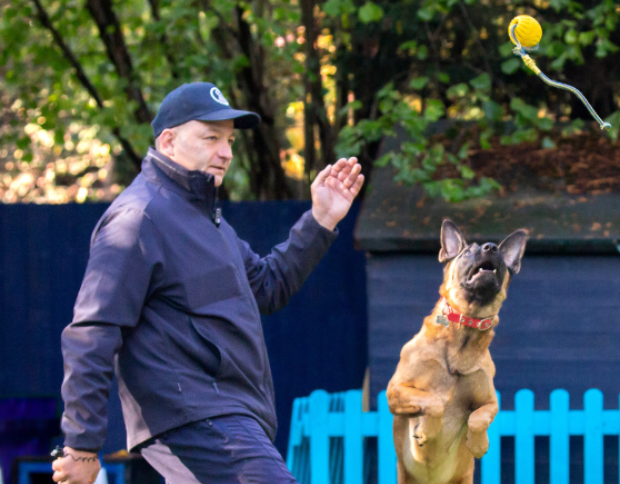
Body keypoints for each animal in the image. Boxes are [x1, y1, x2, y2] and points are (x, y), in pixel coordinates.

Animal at [388, 219, 528, 484]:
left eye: (502, 258)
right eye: (467, 252)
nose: (492, 247)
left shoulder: (490, 402)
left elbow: (478, 418)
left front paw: (478, 444)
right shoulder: (395, 392)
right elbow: (433, 402)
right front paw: (427, 430)